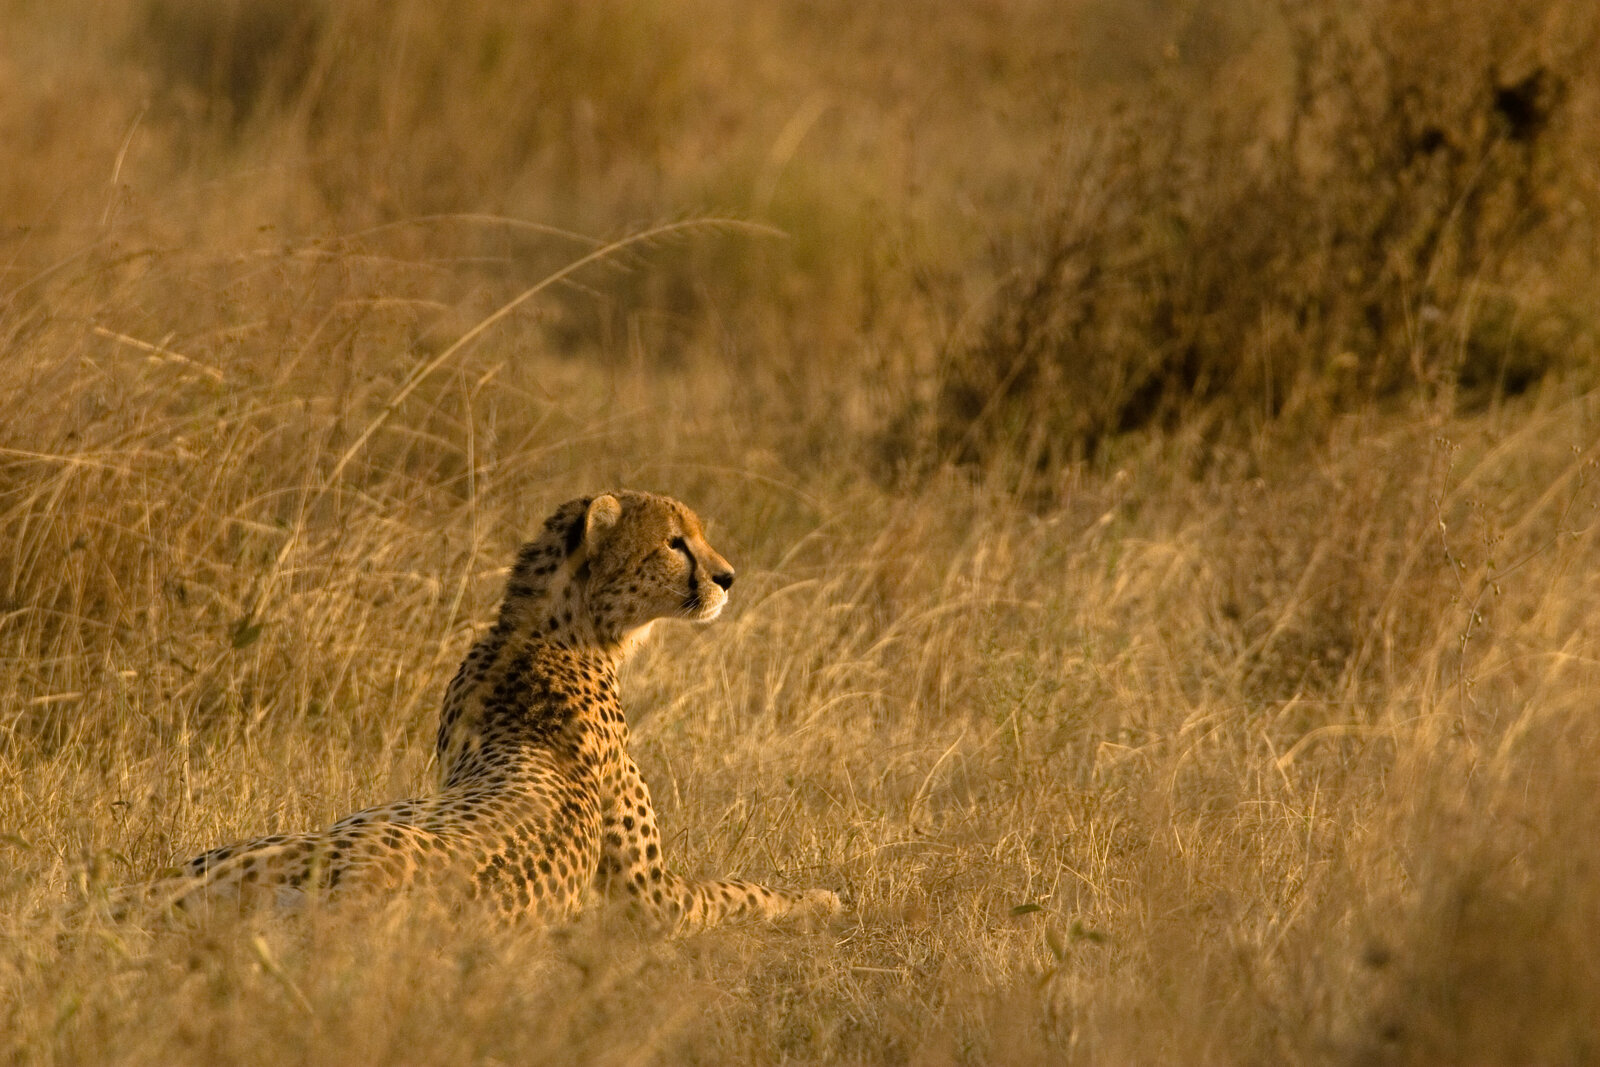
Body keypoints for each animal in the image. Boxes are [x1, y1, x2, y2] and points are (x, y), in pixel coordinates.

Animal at [130, 490, 840, 932]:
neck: (548, 632)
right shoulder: (652, 899)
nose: (728, 577)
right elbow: (739, 891)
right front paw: (821, 897)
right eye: (674, 542)